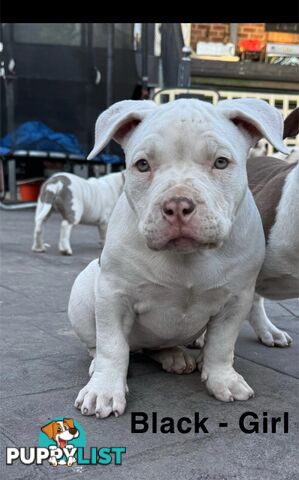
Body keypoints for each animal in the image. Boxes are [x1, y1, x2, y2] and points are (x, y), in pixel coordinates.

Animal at [69, 96, 290, 416]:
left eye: (220, 162)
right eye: (142, 165)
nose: (177, 205)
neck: (188, 256)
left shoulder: (237, 299)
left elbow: (222, 344)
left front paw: (223, 380)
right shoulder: (113, 294)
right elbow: (112, 345)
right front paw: (105, 390)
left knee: (160, 346)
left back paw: (176, 355)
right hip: (85, 291)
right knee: (102, 345)